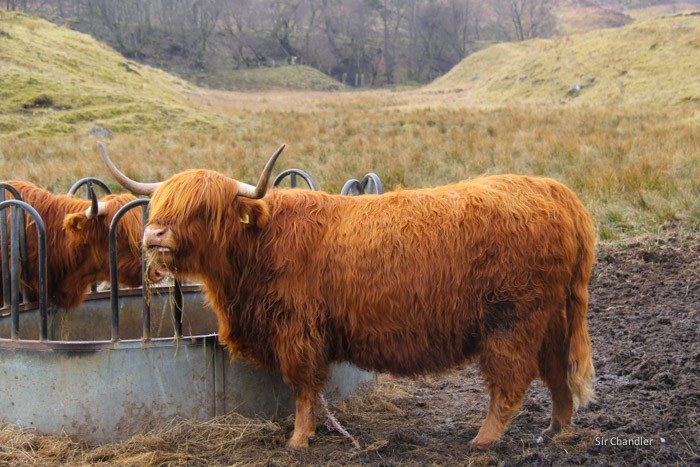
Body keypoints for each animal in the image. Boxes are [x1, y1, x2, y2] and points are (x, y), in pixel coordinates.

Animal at [99, 145, 596, 450]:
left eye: (202, 209)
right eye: (162, 202)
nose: (154, 235)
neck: (259, 247)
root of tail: (556, 191)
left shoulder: (298, 331)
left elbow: (303, 388)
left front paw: (299, 440)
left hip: (512, 321)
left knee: (511, 382)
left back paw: (484, 440)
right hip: (553, 318)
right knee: (557, 374)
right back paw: (556, 431)